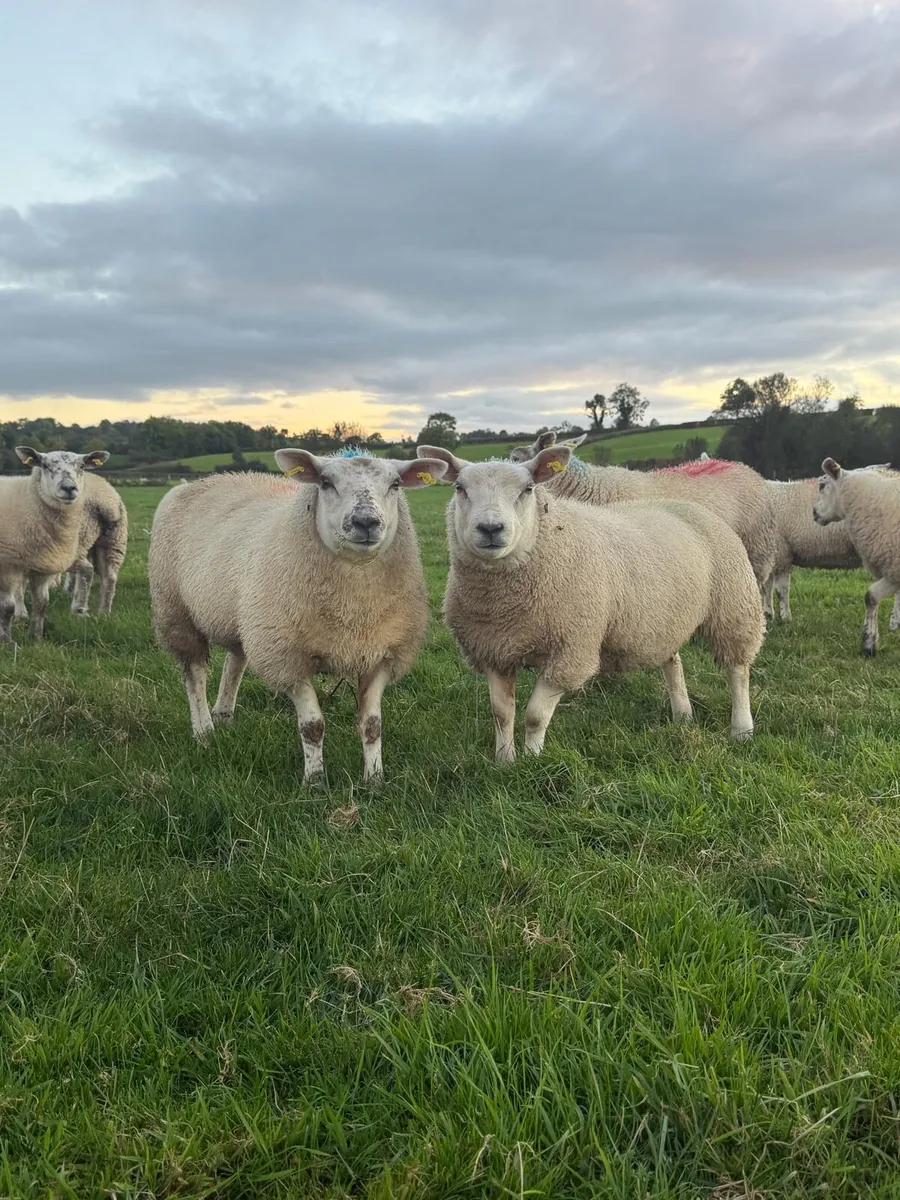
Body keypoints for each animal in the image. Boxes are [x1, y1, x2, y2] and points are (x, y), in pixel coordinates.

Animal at [0, 447, 110, 643]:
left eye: (82, 466)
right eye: (44, 465)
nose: (69, 488)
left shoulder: (43, 566)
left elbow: (42, 603)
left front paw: (35, 638)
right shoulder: (7, 566)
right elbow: (7, 608)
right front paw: (8, 644)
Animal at [61, 473, 129, 615]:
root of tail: (107, 503)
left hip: (79, 537)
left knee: (86, 570)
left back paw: (78, 609)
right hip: (113, 543)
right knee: (110, 577)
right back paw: (104, 612)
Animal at [148, 450, 448, 783]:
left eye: (395, 484)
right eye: (325, 482)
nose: (366, 522)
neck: (354, 609)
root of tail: (206, 480)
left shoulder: (383, 655)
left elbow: (372, 726)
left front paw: (374, 780)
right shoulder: (287, 659)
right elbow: (312, 726)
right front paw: (314, 781)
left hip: (248, 618)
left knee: (235, 661)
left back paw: (223, 714)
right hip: (176, 611)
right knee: (195, 673)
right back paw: (203, 730)